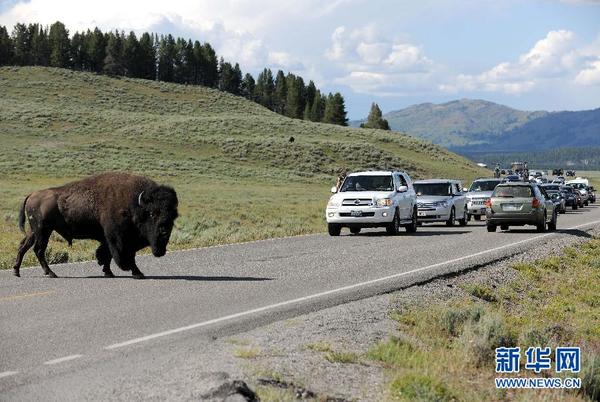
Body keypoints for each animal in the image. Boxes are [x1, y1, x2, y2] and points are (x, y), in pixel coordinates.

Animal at [12, 173, 178, 280]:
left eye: (173, 215)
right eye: (152, 213)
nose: (164, 231)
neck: (134, 204)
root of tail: (32, 195)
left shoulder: (108, 239)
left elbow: (107, 255)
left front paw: (108, 272)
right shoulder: (119, 239)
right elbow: (124, 256)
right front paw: (137, 273)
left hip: (34, 231)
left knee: (24, 246)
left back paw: (17, 271)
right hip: (43, 230)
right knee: (39, 250)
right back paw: (51, 273)